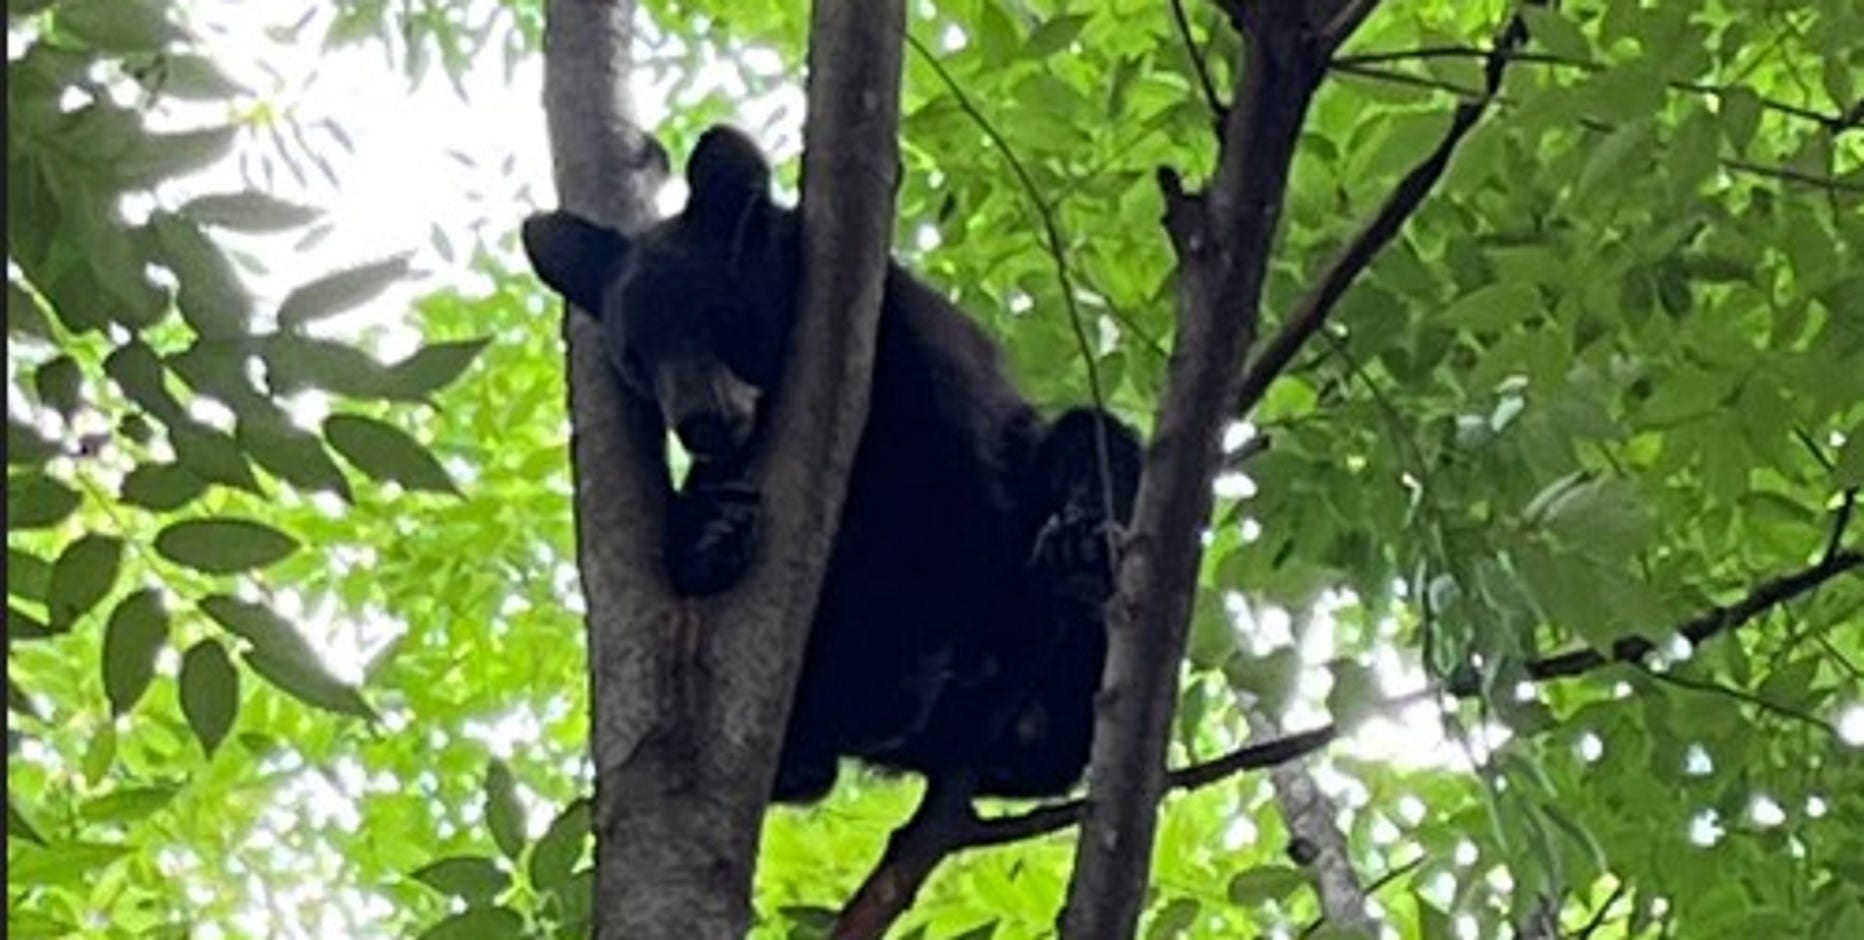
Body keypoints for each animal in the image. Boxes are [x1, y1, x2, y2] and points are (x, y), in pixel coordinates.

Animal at [521, 124, 1142, 803]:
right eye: (636, 357)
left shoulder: (912, 364)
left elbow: (953, 516)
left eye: (716, 316)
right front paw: (710, 532)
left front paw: (874, 687)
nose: (699, 421)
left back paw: (1075, 553)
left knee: (1091, 442)